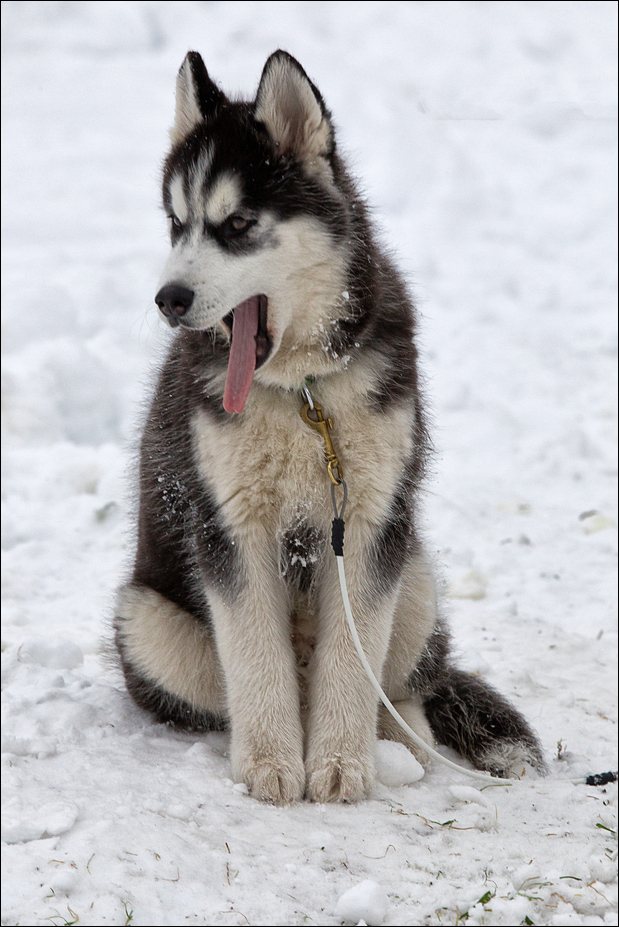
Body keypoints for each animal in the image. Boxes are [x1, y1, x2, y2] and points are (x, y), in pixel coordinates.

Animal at [114, 52, 544, 804]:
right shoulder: (232, 527)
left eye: (237, 224)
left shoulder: (370, 522)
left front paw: (341, 763)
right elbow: (255, 659)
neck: (303, 393)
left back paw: (401, 739)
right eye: (176, 223)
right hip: (147, 621)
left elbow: (355, 656)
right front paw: (271, 763)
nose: (169, 300)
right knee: (237, 687)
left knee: (404, 681)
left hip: (415, 570)